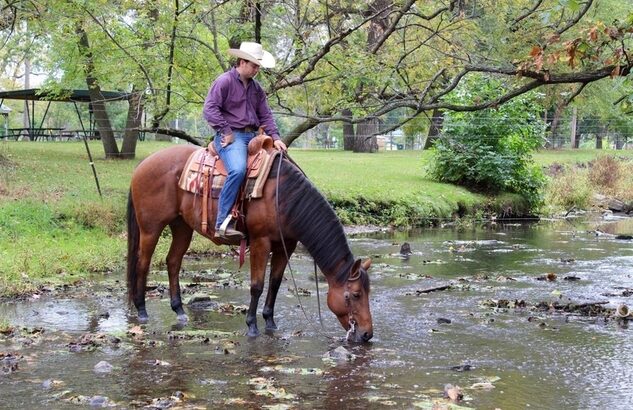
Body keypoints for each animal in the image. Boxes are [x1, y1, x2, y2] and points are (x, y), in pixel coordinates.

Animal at [126, 144, 372, 342]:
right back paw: (142, 310)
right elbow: (257, 285)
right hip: (150, 228)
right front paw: (252, 326)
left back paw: (179, 311)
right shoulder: (260, 241)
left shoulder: (286, 245)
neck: (283, 197)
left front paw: (270, 322)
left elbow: (274, 283)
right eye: (355, 295)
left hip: (182, 226)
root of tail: (141, 166)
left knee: (173, 262)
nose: (367, 334)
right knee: (142, 263)